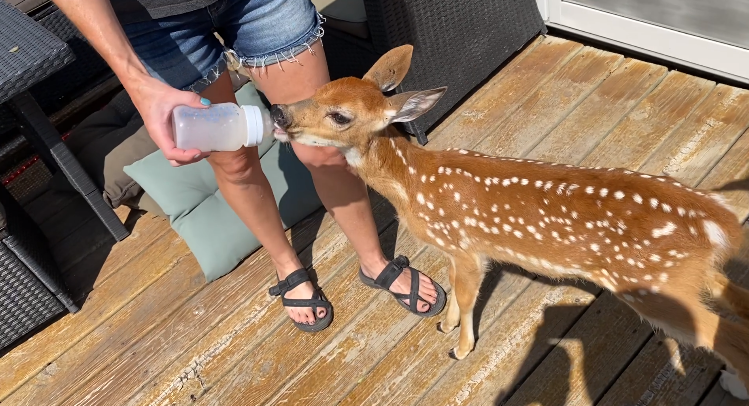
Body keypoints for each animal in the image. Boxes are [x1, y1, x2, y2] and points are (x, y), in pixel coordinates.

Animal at [269, 44, 749, 399]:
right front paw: (444, 325)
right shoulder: (456, 248)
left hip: (652, 283)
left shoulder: (466, 247)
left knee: (728, 335)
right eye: (321, 88)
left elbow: (466, 297)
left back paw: (734, 383)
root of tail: (717, 216)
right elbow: (454, 289)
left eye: (340, 115)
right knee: (737, 299)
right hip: (688, 274)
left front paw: (460, 348)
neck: (414, 184)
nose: (278, 114)